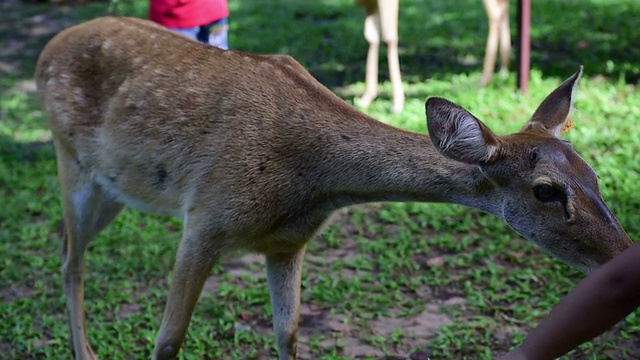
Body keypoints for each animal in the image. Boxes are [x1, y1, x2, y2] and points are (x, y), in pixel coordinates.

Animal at [36, 16, 632, 360]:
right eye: (547, 191)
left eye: (593, 173)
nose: (625, 254)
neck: (311, 183)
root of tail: (46, 50)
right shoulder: (204, 217)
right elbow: (166, 342)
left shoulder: (287, 243)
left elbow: (288, 335)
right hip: (70, 159)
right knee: (69, 256)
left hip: (118, 188)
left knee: (65, 244)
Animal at [356, 0, 510, 112]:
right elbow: (370, 37)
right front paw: (366, 97)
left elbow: (388, 38)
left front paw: (397, 103)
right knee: (501, 7)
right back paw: (503, 69)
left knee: (494, 13)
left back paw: (484, 79)